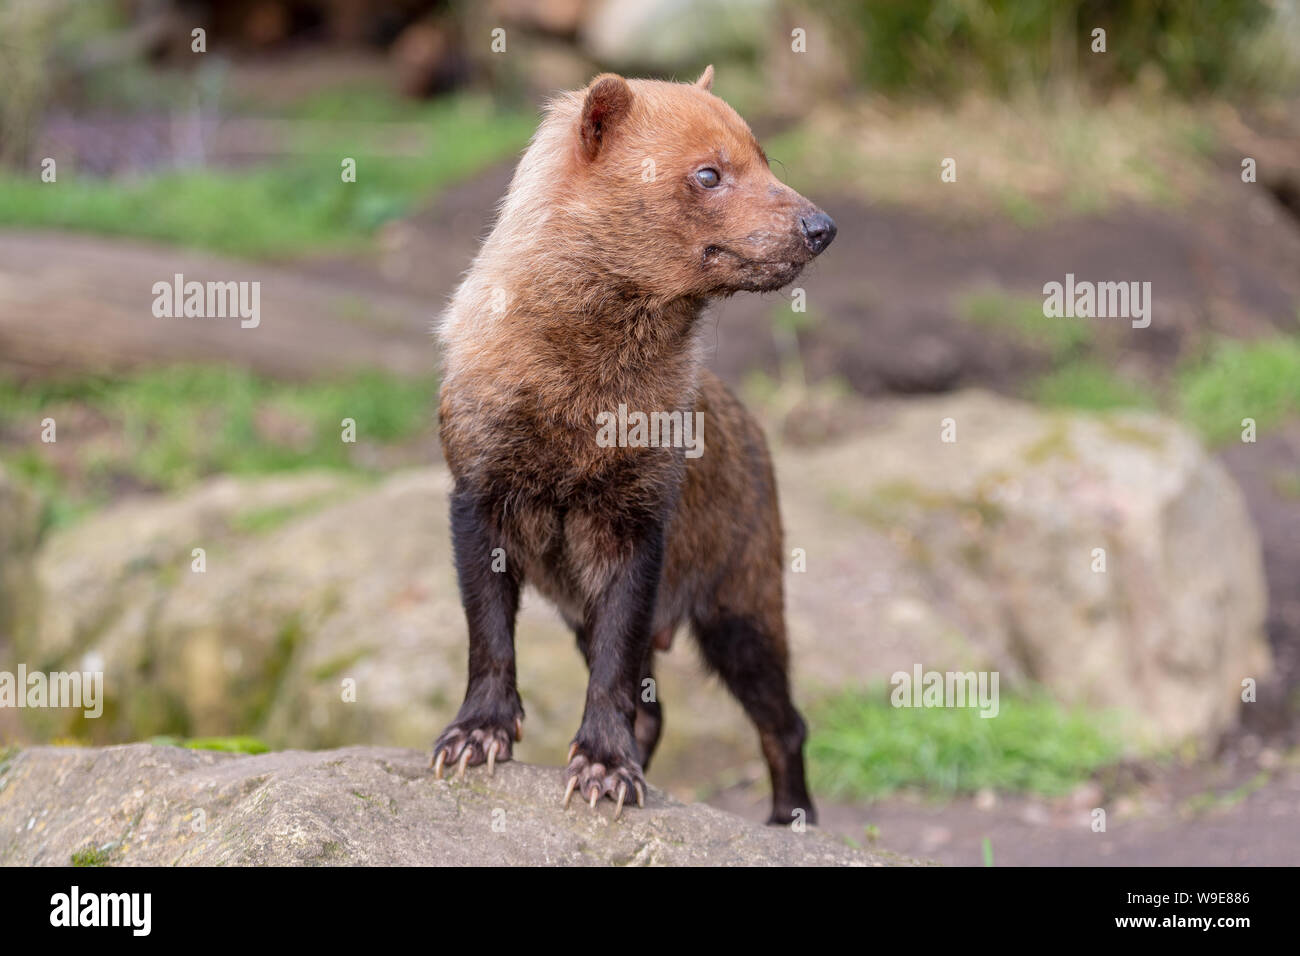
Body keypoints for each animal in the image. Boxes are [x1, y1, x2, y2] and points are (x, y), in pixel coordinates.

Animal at [431, 65, 837, 822]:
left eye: (765, 155)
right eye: (709, 172)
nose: (821, 226)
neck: (581, 414)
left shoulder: (639, 520)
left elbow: (614, 673)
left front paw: (603, 768)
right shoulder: (478, 496)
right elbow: (488, 635)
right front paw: (475, 735)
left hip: (743, 603)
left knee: (783, 721)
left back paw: (789, 818)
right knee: (664, 712)